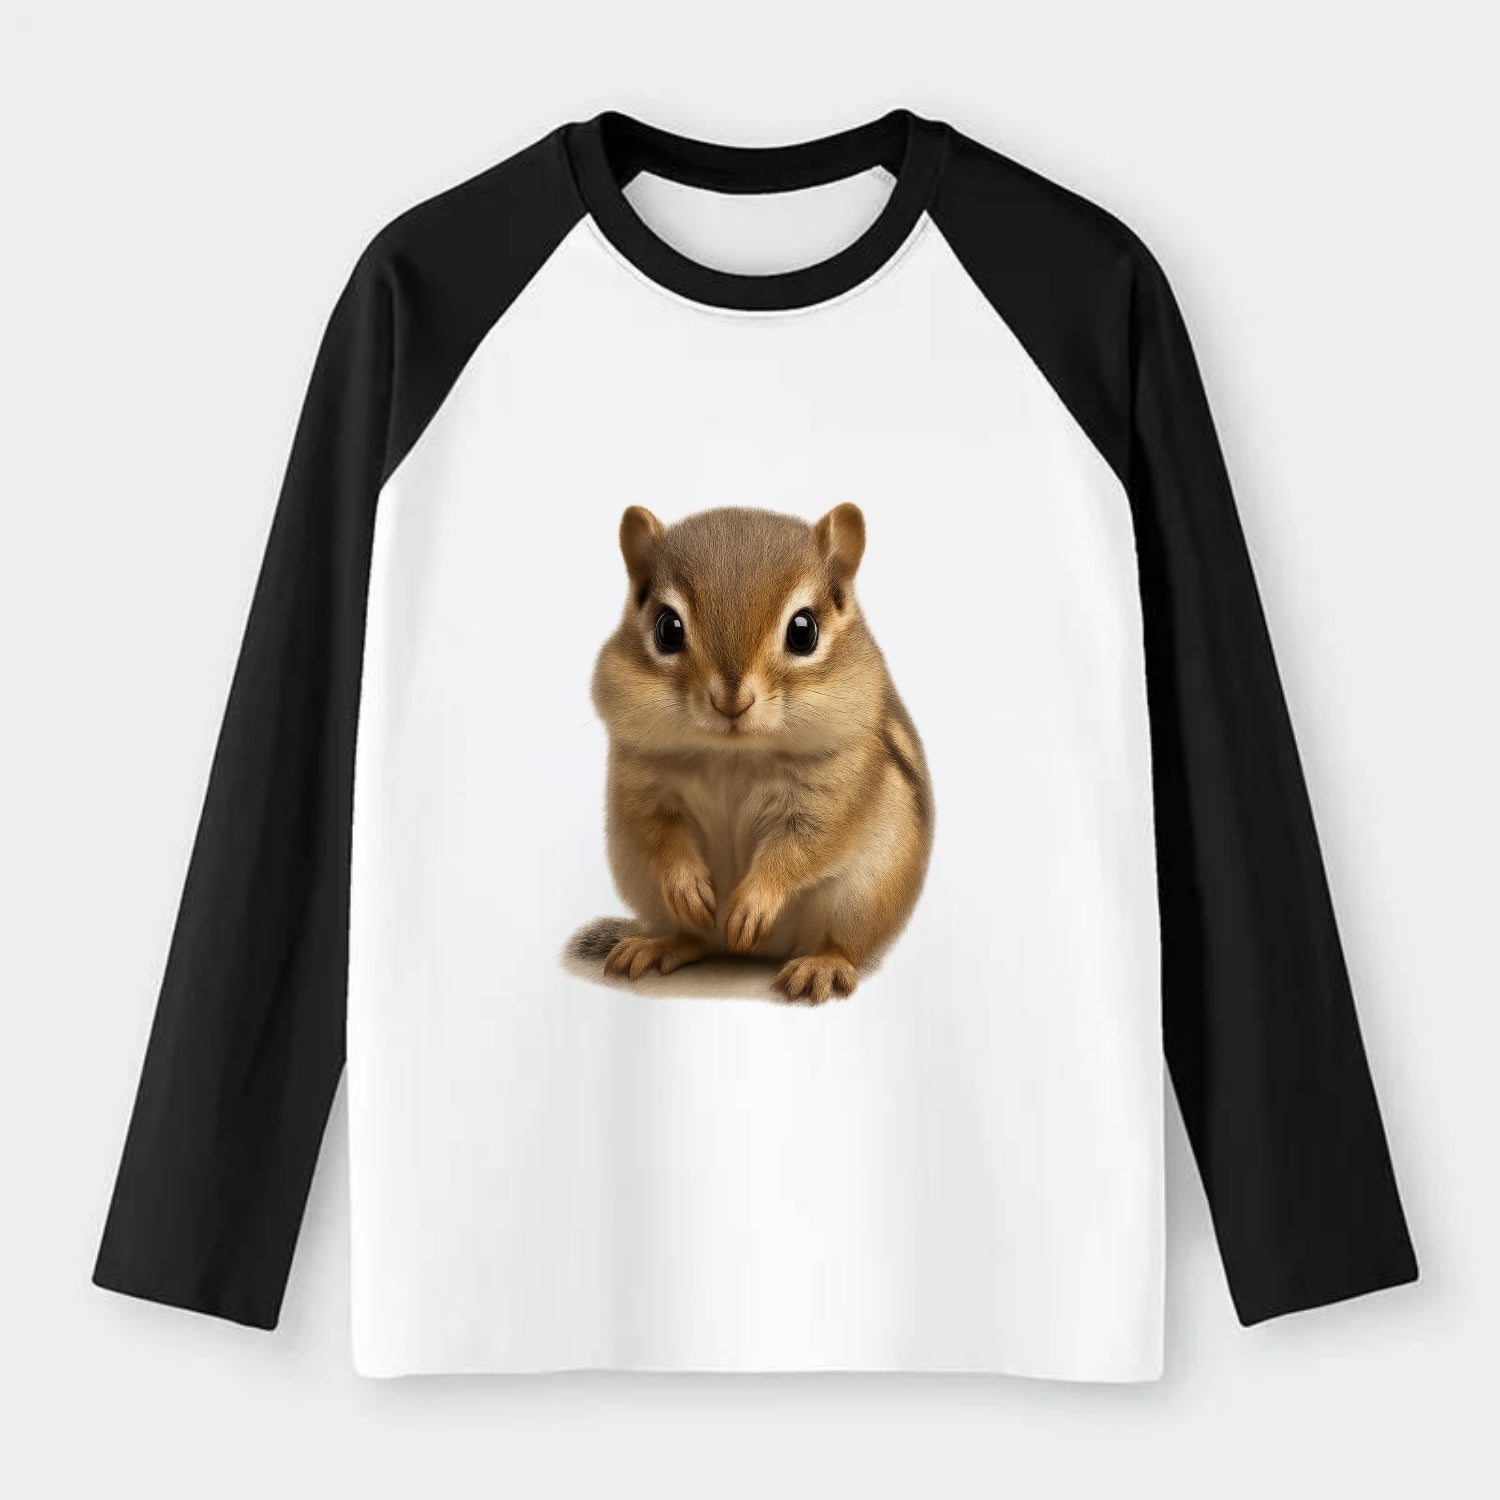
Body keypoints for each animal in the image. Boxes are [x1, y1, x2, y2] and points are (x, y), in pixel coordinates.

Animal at [576, 503, 934, 1004]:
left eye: (803, 631)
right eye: (668, 628)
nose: (732, 702)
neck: (733, 753)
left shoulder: (830, 794)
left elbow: (802, 847)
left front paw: (752, 904)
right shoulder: (643, 785)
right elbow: (659, 833)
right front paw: (689, 886)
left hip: (862, 895)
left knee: (843, 944)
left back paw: (821, 965)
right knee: (696, 939)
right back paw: (657, 945)